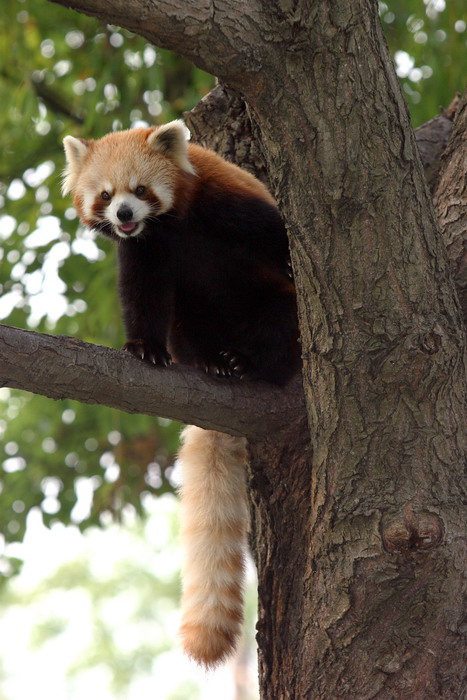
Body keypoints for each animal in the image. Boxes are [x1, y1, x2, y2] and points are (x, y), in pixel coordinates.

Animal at [62, 120, 300, 668]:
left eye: (140, 189)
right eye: (106, 195)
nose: (125, 215)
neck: (169, 226)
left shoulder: (231, 207)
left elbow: (279, 238)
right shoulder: (143, 251)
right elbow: (143, 297)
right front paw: (144, 349)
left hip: (265, 304)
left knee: (282, 316)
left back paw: (252, 363)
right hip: (194, 319)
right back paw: (212, 361)